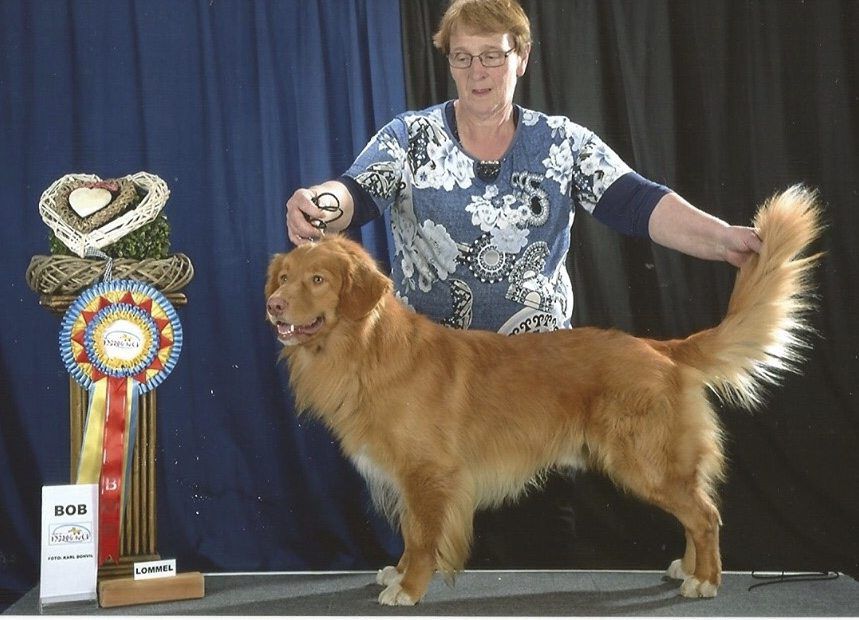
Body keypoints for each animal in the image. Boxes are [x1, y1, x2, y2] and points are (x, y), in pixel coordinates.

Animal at [266, 186, 824, 604]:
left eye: (318, 279)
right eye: (285, 277)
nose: (273, 305)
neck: (367, 349)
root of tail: (660, 348)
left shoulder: (429, 474)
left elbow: (423, 537)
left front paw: (410, 587)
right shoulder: (408, 479)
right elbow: (409, 533)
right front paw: (398, 573)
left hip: (646, 460)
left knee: (705, 515)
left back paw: (705, 580)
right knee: (695, 512)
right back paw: (685, 569)